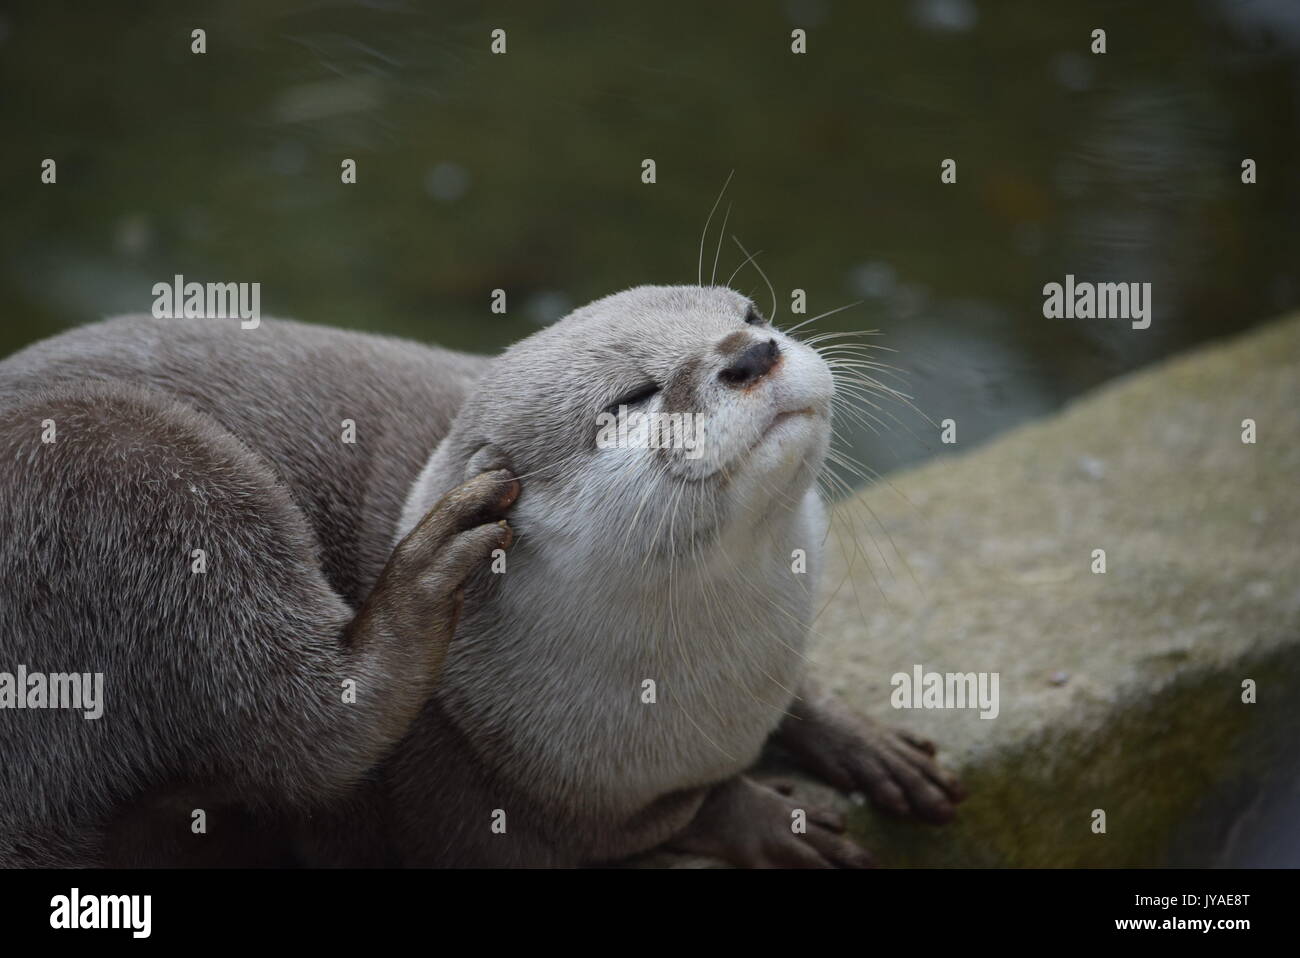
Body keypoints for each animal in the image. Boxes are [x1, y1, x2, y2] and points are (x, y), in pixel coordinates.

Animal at [0, 285, 956, 868]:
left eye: (752, 309)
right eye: (632, 396)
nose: (751, 352)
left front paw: (865, 742)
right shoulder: (468, 816)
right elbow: (633, 829)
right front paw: (759, 816)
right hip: (119, 472)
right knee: (299, 726)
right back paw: (420, 586)